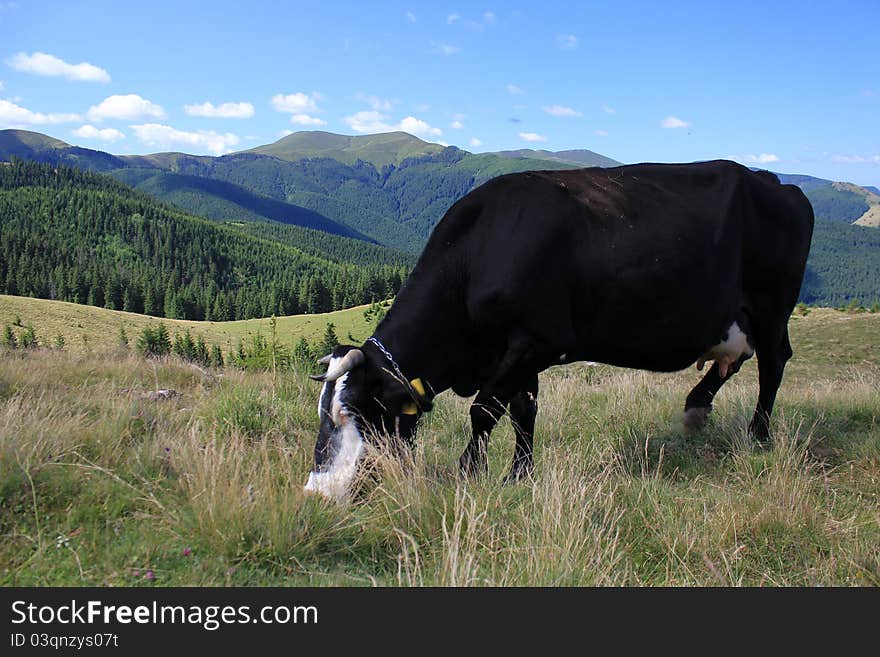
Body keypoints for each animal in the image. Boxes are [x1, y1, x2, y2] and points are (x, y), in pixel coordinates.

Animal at [302, 159, 812, 498]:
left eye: (351, 414)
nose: (315, 494)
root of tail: (774, 181)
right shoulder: (518, 351)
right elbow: (523, 412)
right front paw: (518, 476)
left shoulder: (536, 341)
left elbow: (484, 410)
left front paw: (470, 473)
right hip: (737, 316)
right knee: (738, 359)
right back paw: (696, 408)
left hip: (772, 304)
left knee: (773, 362)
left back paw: (758, 436)